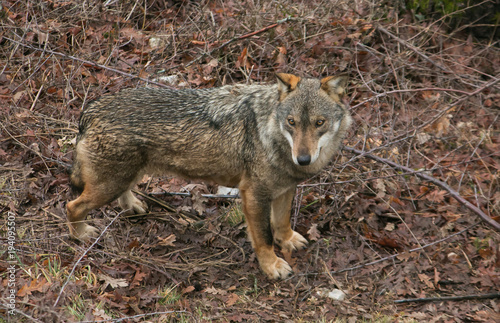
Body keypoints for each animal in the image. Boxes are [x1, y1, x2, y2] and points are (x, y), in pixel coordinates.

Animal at [67, 73, 352, 278]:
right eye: (291, 122)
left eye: (319, 123)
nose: (303, 159)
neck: (269, 132)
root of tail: (89, 110)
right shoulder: (254, 195)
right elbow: (264, 237)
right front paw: (272, 267)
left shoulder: (284, 188)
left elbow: (281, 223)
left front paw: (289, 240)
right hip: (107, 186)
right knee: (72, 206)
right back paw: (80, 235)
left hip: (125, 178)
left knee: (120, 194)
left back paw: (132, 206)